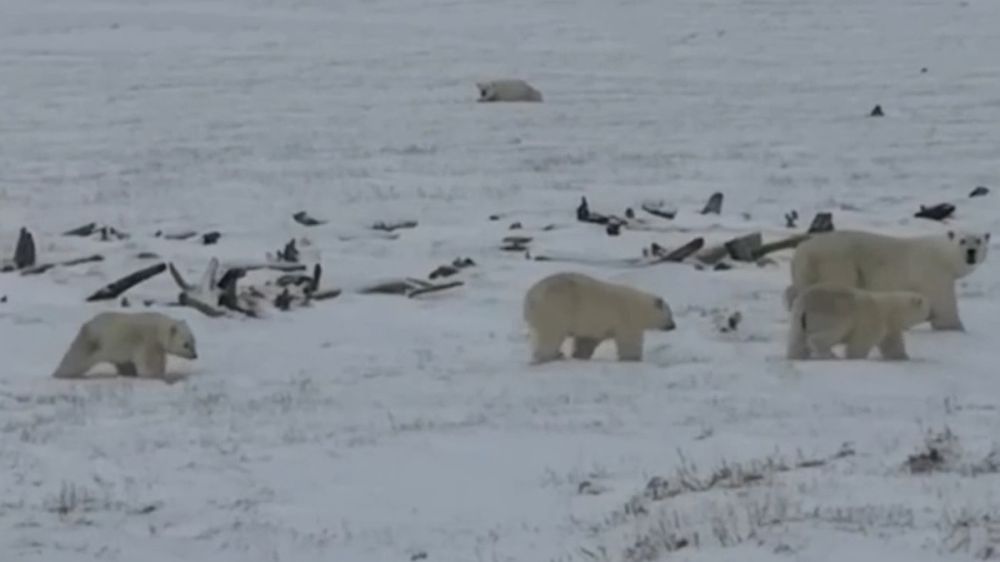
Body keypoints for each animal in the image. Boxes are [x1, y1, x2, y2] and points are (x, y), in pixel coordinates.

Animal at [52, 308, 197, 378]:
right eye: (186, 344)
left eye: (194, 341)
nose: (195, 355)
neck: (158, 328)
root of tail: (87, 326)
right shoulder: (147, 341)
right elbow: (150, 361)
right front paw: (156, 374)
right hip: (93, 344)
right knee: (74, 360)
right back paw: (59, 374)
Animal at [520, 272, 676, 364]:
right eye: (670, 314)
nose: (673, 326)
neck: (640, 307)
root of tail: (530, 299)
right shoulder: (626, 319)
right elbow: (629, 341)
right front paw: (633, 359)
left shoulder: (593, 325)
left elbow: (587, 341)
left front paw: (580, 355)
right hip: (555, 309)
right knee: (551, 335)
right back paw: (552, 356)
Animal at [784, 230, 988, 330]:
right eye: (962, 240)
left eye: (979, 240)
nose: (971, 252)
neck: (943, 254)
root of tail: (803, 248)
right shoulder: (933, 271)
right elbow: (944, 301)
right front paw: (954, 326)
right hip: (837, 262)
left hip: (806, 268)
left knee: (798, 288)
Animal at [784, 284, 932, 358]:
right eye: (928, 307)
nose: (932, 314)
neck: (890, 309)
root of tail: (805, 304)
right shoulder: (872, 318)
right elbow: (862, 341)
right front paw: (855, 356)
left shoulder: (890, 325)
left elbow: (891, 342)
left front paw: (902, 356)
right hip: (830, 315)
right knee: (829, 334)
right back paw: (829, 354)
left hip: (797, 316)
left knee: (796, 339)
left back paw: (797, 355)